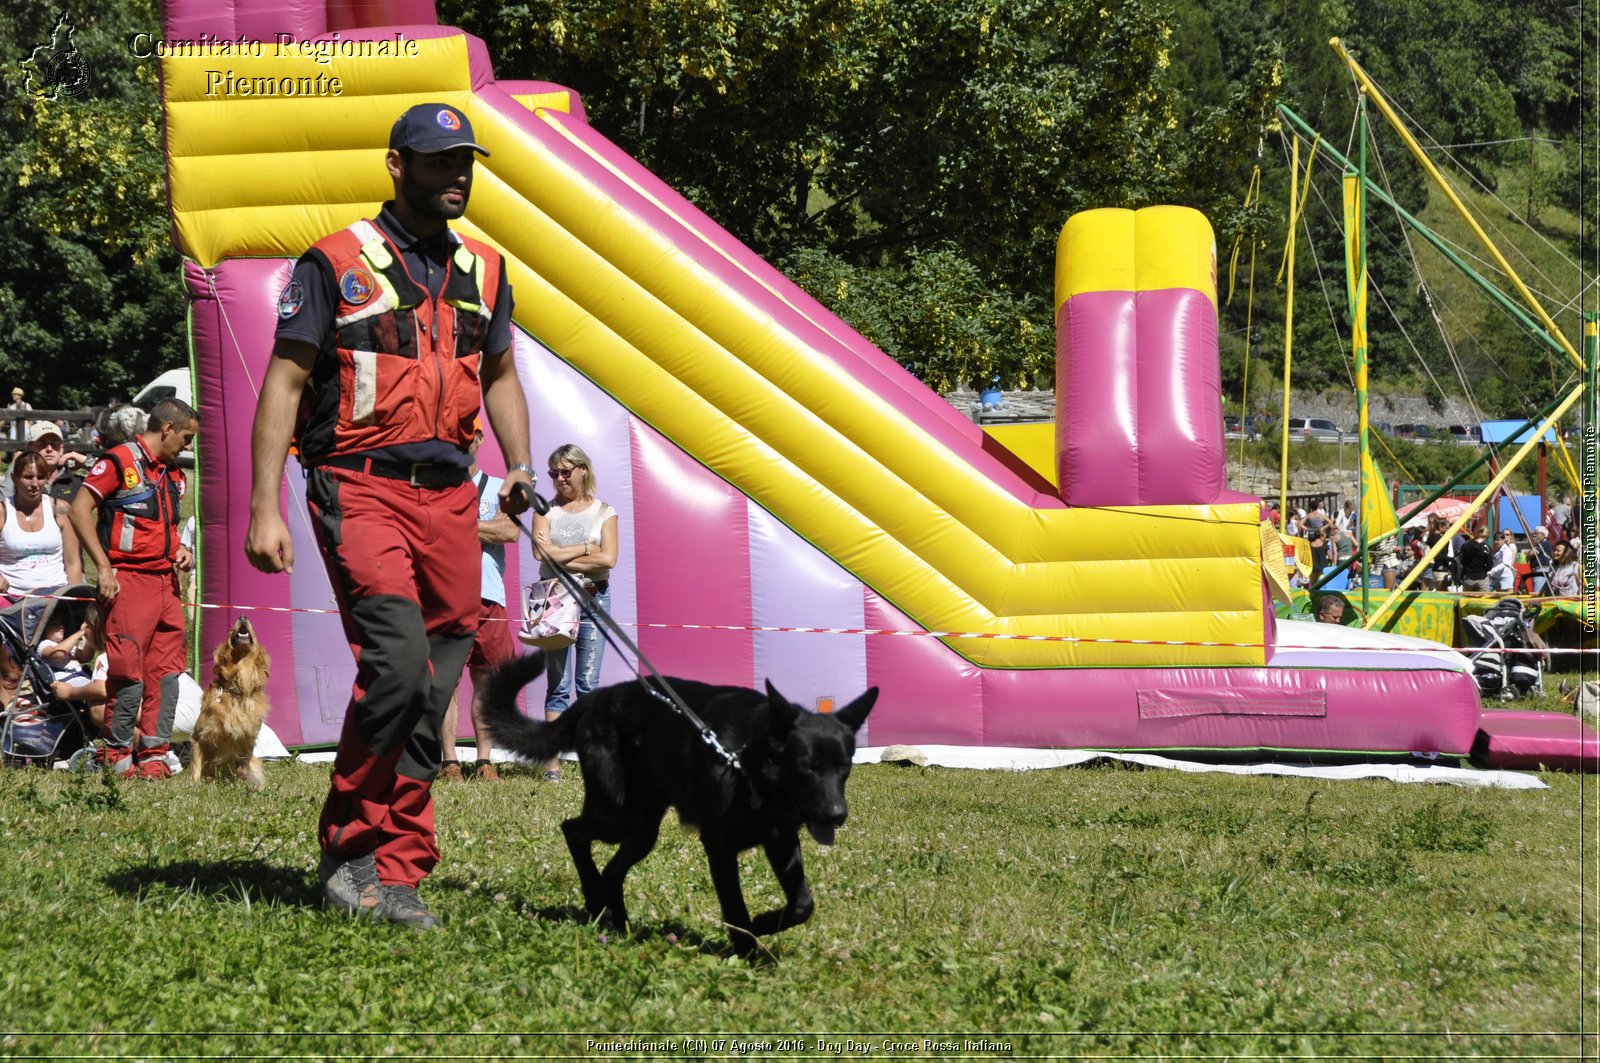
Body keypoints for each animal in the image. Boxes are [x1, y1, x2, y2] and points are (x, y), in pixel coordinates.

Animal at [190, 614, 272, 787]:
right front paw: (194, 784)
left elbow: (242, 766)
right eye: (229, 630)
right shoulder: (198, 736)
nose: (243, 616)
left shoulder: (248, 741)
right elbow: (196, 765)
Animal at [476, 656, 876, 954]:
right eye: (807, 767)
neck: (747, 762)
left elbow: (803, 904)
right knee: (572, 830)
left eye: (844, 766)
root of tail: (596, 698)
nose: (837, 816)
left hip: (643, 830)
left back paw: (619, 922)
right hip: (617, 814)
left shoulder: (781, 840)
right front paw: (750, 952)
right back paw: (593, 897)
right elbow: (735, 906)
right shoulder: (719, 847)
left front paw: (763, 924)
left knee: (612, 869)